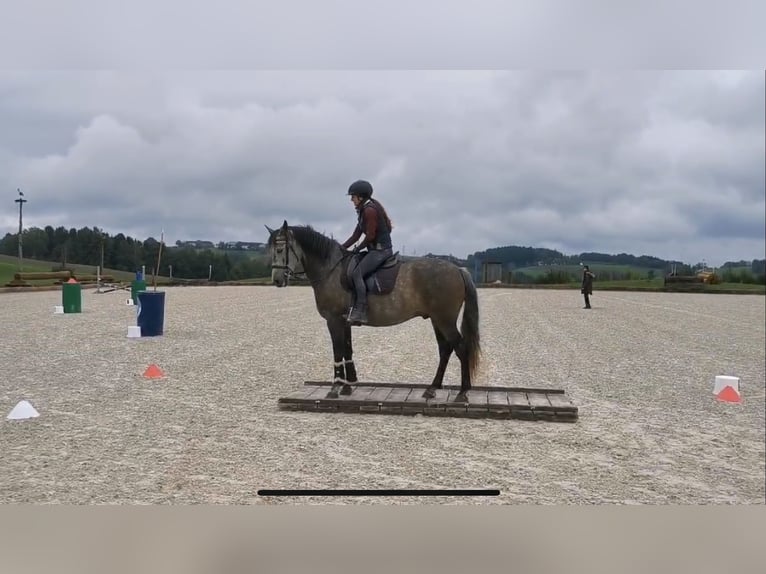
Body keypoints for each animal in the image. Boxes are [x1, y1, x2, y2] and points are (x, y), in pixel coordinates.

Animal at [264, 223, 480, 402]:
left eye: (280, 249)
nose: (277, 280)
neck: (331, 268)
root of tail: (458, 269)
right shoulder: (345, 321)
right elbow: (347, 350)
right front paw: (348, 387)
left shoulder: (333, 320)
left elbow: (338, 351)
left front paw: (335, 388)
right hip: (437, 320)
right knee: (445, 349)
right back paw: (432, 388)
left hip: (444, 320)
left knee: (461, 348)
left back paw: (462, 392)